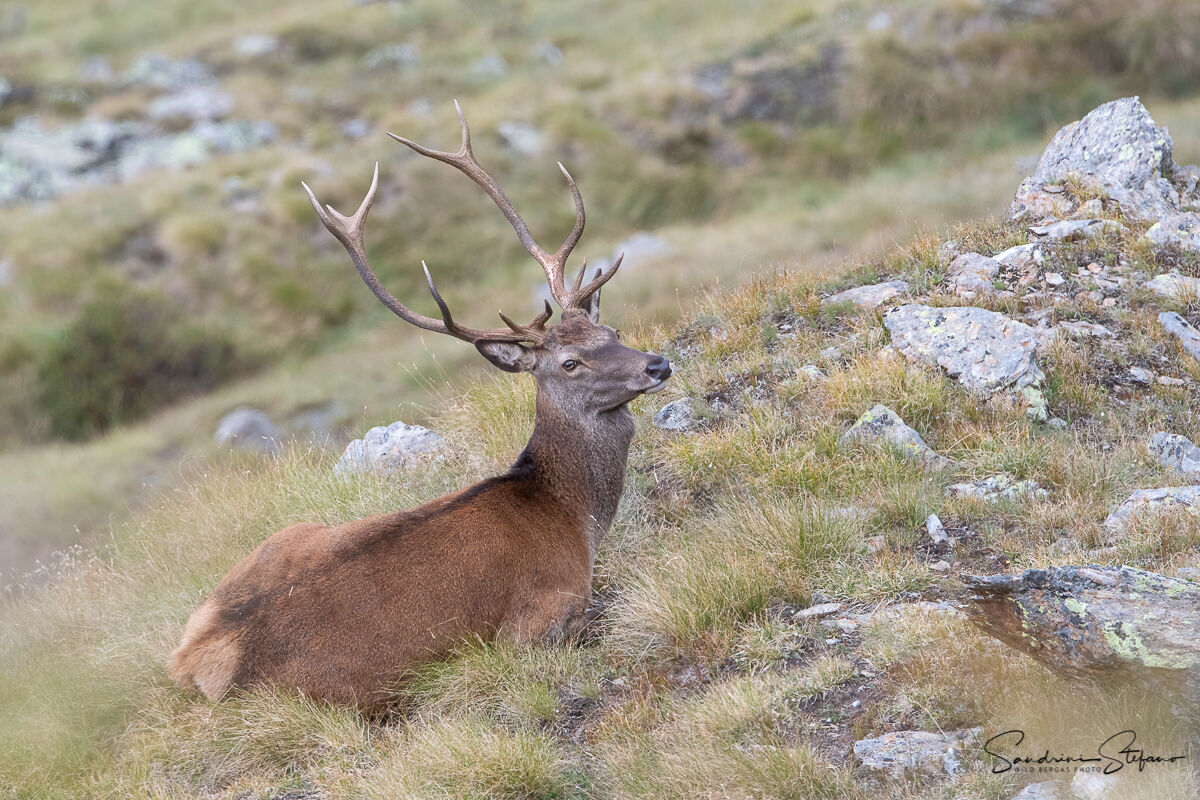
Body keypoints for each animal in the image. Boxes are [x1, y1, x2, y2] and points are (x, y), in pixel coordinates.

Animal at [169, 103, 672, 711]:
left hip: (282, 537)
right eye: (570, 363)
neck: (572, 516)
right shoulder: (536, 619)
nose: (657, 365)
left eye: (612, 331)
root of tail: (192, 661)